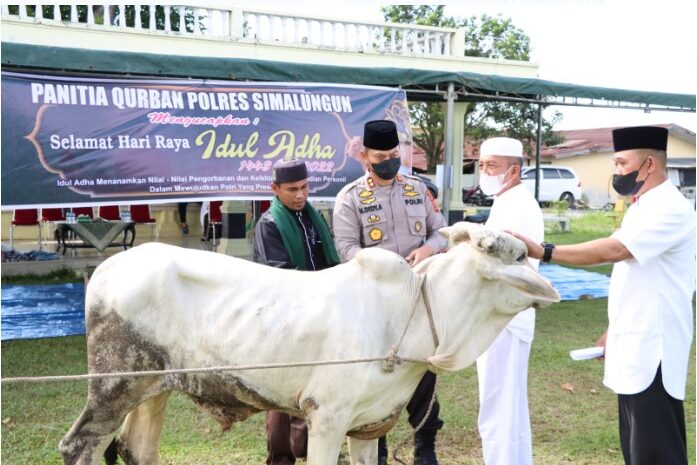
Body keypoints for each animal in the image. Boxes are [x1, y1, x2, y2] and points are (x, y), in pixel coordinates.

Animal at [59, 221, 560, 464]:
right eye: (518, 255)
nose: (551, 287)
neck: (413, 309)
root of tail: (107, 268)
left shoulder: (367, 427)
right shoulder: (326, 418)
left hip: (152, 389)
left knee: (136, 449)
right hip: (115, 385)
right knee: (79, 446)